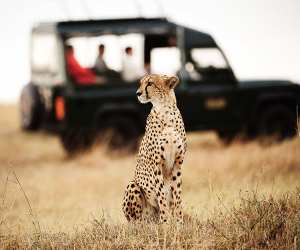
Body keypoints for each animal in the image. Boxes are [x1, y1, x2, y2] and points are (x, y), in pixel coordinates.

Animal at [122, 73, 185, 223]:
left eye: (150, 83)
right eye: (140, 83)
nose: (138, 93)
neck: (165, 111)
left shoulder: (178, 162)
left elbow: (177, 195)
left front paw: (179, 222)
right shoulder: (157, 164)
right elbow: (161, 194)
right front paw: (166, 222)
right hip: (133, 185)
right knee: (135, 220)